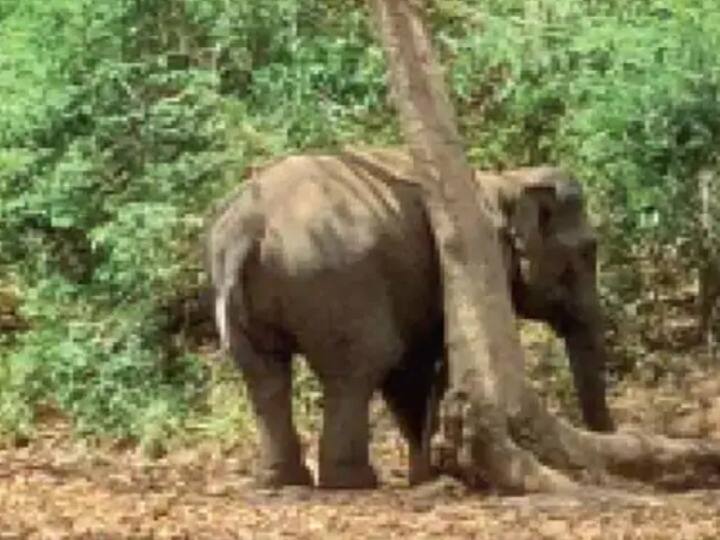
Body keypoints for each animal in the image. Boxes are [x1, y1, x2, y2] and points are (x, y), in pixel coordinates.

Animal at [206, 147, 614, 489]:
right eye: (588, 251)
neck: (507, 181)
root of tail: (248, 226)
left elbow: (411, 370)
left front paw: (426, 473)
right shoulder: (477, 264)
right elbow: (433, 361)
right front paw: (434, 472)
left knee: (265, 376)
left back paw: (281, 480)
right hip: (335, 282)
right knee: (361, 364)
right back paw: (353, 481)